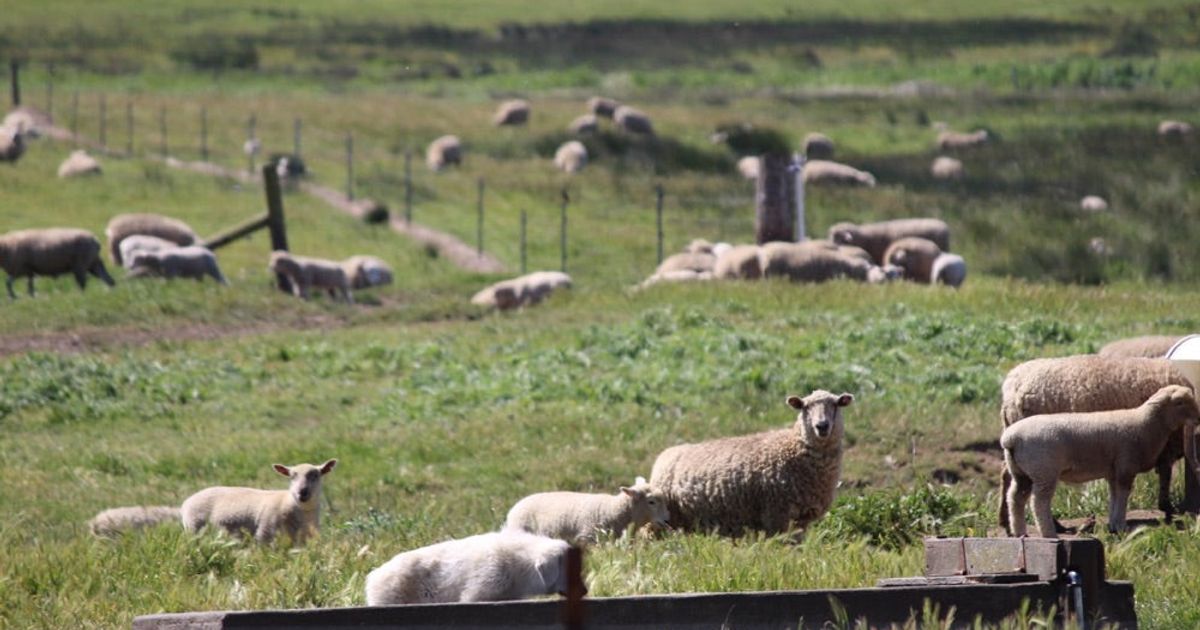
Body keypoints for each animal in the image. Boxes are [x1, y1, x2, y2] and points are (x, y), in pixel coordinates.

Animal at [181, 459, 337, 544]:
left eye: (316, 475)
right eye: (292, 477)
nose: (302, 492)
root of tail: (187, 501)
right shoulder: (264, 534)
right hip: (194, 528)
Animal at [650, 390, 854, 536]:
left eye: (835, 404)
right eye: (805, 406)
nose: (822, 426)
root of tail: (664, 456)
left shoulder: (800, 520)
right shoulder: (776, 514)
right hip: (657, 521)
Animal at [997, 355, 1199, 531]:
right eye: (1181, 402)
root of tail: (1011, 386)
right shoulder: (1164, 447)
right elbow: (1165, 475)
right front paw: (1167, 508)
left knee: (1010, 481)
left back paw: (1007, 523)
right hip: (1042, 463)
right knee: (1034, 497)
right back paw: (1051, 527)